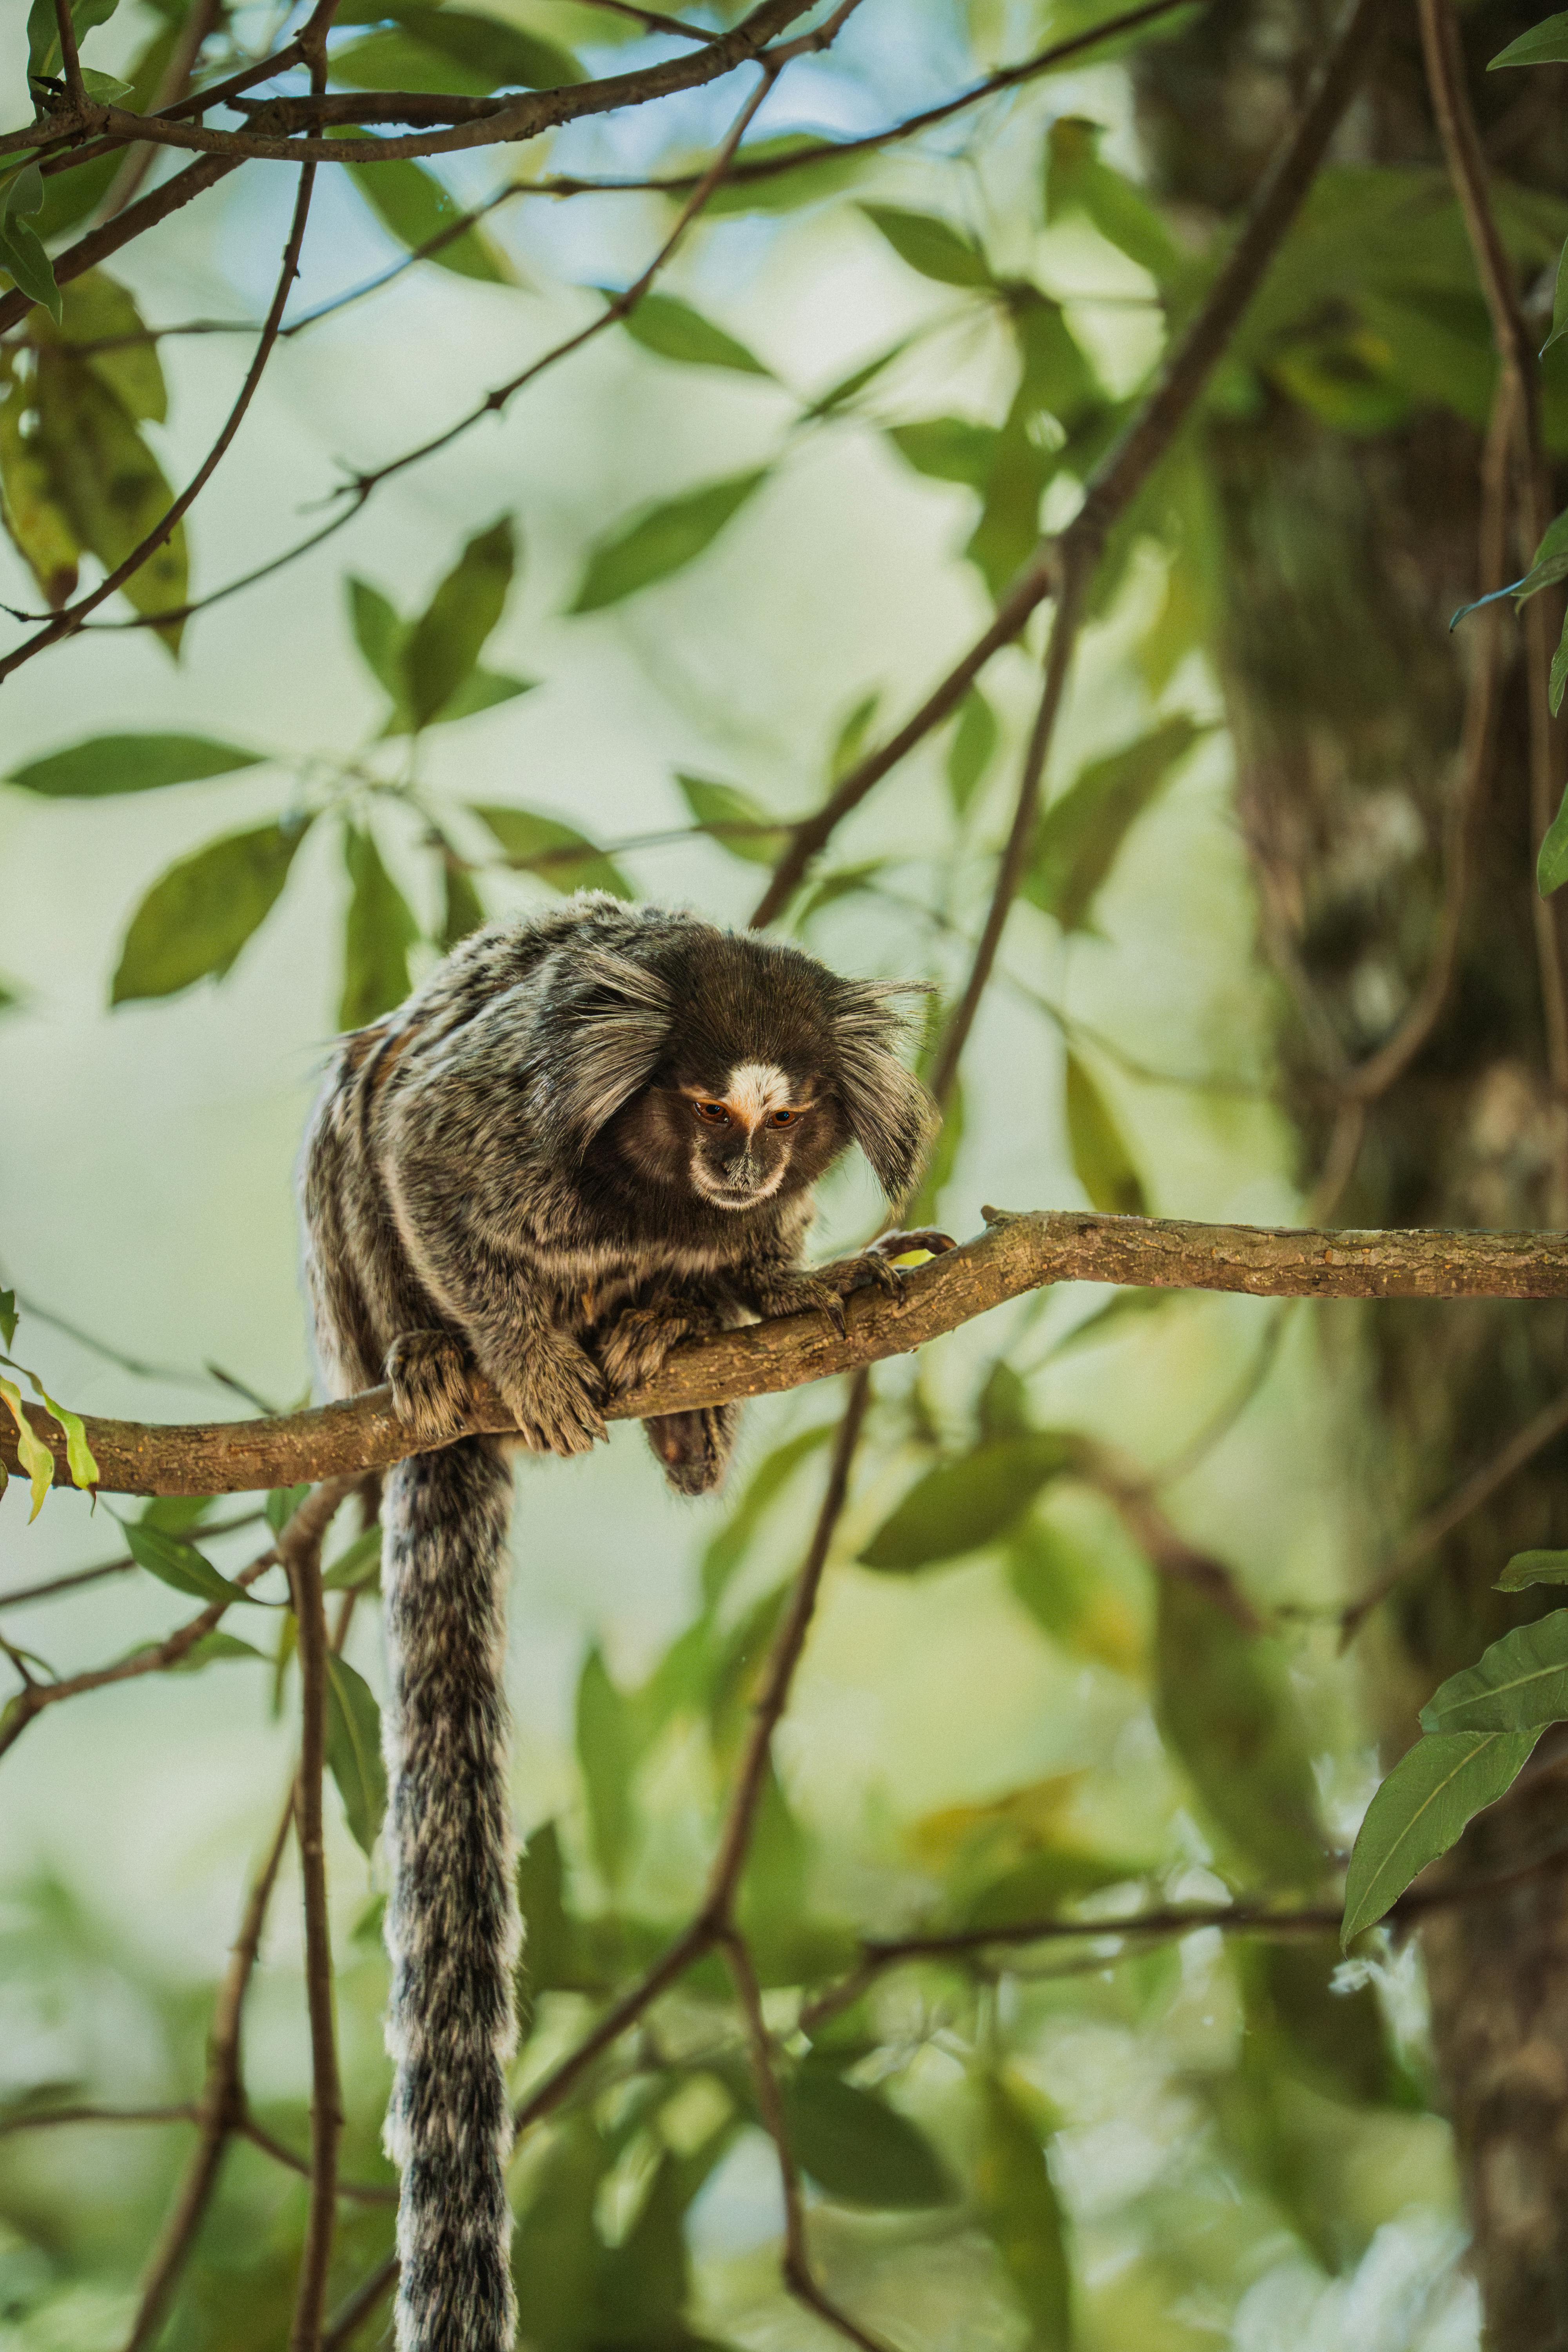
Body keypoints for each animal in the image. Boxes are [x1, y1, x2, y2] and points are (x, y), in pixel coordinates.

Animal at [298, 893, 934, 2352]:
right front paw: (513, 1349)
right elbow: (414, 1146)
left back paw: (671, 1348)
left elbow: (768, 1267)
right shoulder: (497, 1121)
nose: (739, 1164)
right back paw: (434, 1358)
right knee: (360, 1109)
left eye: (783, 1114)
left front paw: (786, 1294)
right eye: (704, 1104)